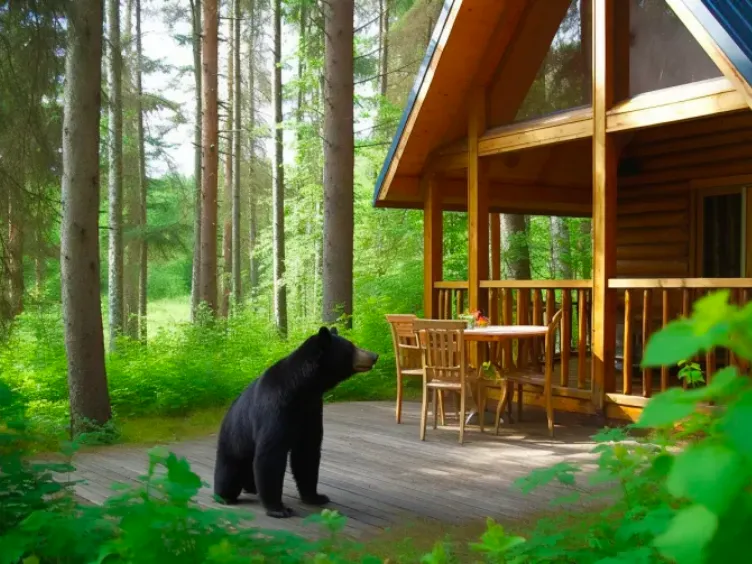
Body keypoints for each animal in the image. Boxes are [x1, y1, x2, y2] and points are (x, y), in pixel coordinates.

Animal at [213, 326, 379, 518]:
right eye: (351, 347)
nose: (374, 355)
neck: (302, 389)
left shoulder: (311, 410)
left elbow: (307, 453)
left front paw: (316, 496)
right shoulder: (275, 408)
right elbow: (271, 453)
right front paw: (278, 508)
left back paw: (251, 488)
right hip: (234, 439)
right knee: (228, 471)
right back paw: (225, 496)